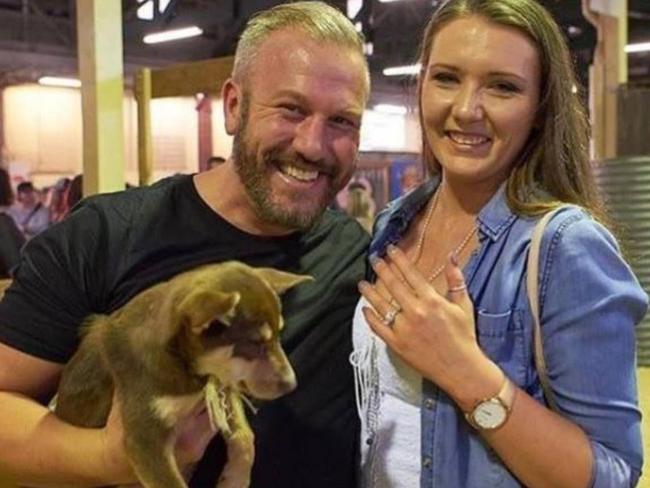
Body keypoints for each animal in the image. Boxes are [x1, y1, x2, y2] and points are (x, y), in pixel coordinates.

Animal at [54, 264, 310, 488]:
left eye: (278, 334)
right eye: (254, 343)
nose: (292, 384)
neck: (186, 367)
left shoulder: (222, 385)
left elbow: (245, 437)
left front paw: (236, 480)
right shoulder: (144, 439)